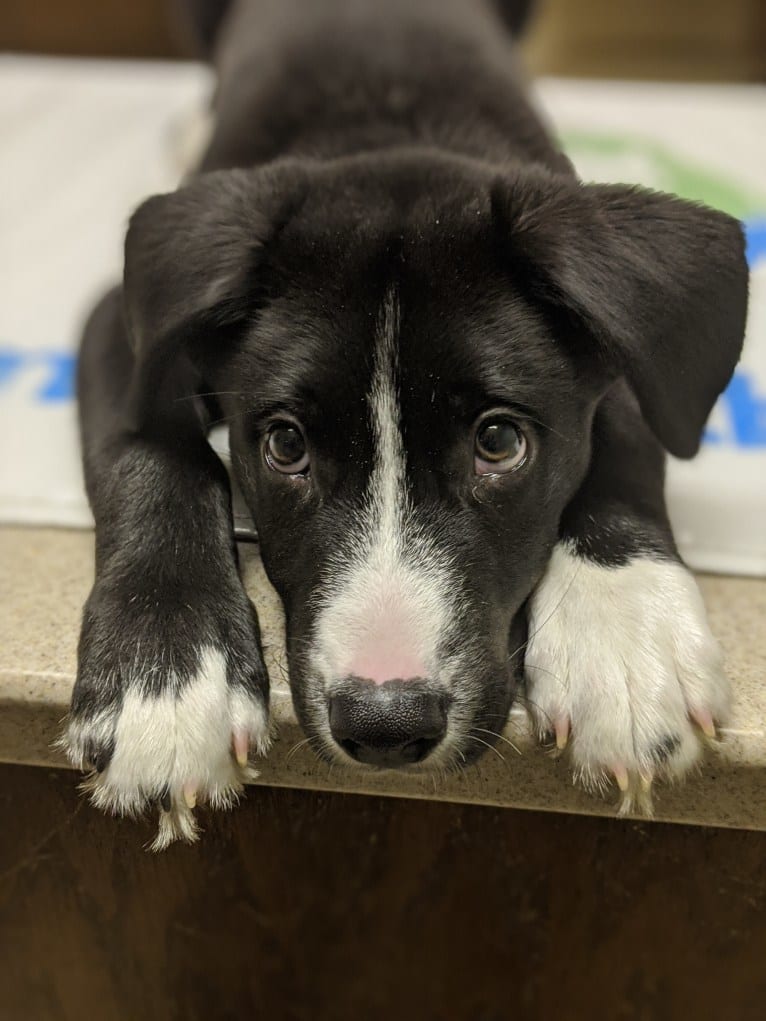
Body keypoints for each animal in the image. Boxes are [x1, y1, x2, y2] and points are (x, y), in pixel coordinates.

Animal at [64, 0, 751, 845]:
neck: (386, 133)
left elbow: (625, 422)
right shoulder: (121, 322)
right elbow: (149, 446)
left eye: (500, 441)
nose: (385, 723)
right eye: (284, 444)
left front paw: (626, 635)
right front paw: (163, 679)